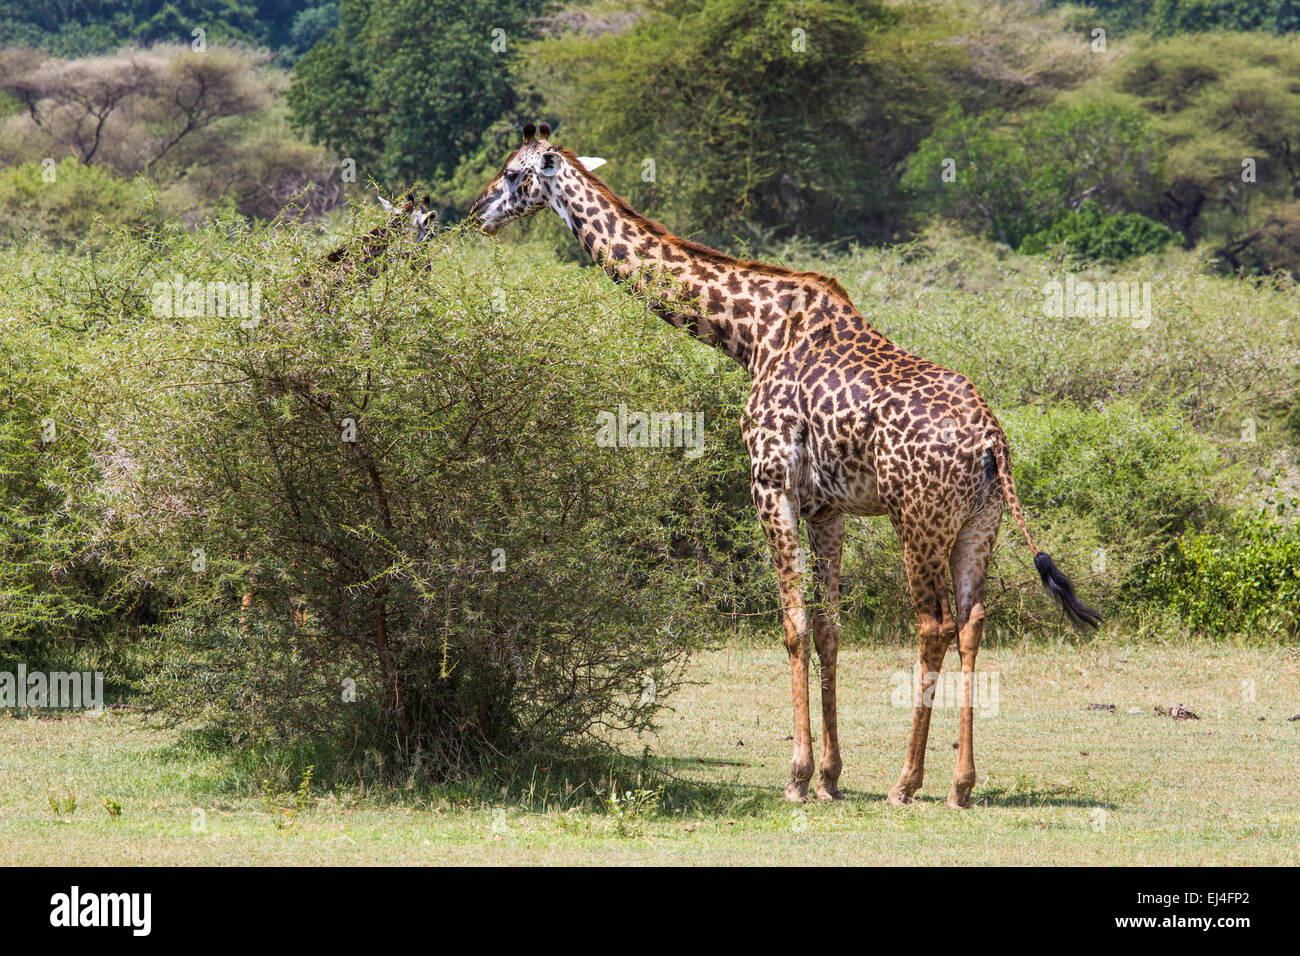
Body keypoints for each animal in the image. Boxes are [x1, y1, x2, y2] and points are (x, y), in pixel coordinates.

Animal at [467, 121, 1097, 806]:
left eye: (511, 172)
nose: (475, 215)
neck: (750, 335)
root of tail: (992, 445)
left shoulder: (770, 484)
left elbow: (793, 624)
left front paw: (797, 776)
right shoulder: (827, 507)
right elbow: (827, 630)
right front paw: (830, 777)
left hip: (918, 519)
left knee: (932, 625)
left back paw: (906, 782)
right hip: (980, 525)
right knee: (973, 623)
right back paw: (961, 784)